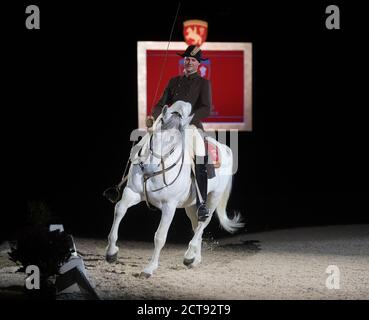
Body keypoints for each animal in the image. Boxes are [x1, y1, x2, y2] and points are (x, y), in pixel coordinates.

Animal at [105, 100, 244, 278]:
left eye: (174, 145)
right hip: (191, 205)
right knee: (196, 225)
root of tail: (224, 149)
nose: (149, 169)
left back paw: (189, 256)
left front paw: (149, 269)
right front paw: (111, 253)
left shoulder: (169, 206)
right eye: (154, 136)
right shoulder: (132, 193)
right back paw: (194, 260)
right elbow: (119, 209)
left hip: (213, 198)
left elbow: (160, 236)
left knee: (203, 223)